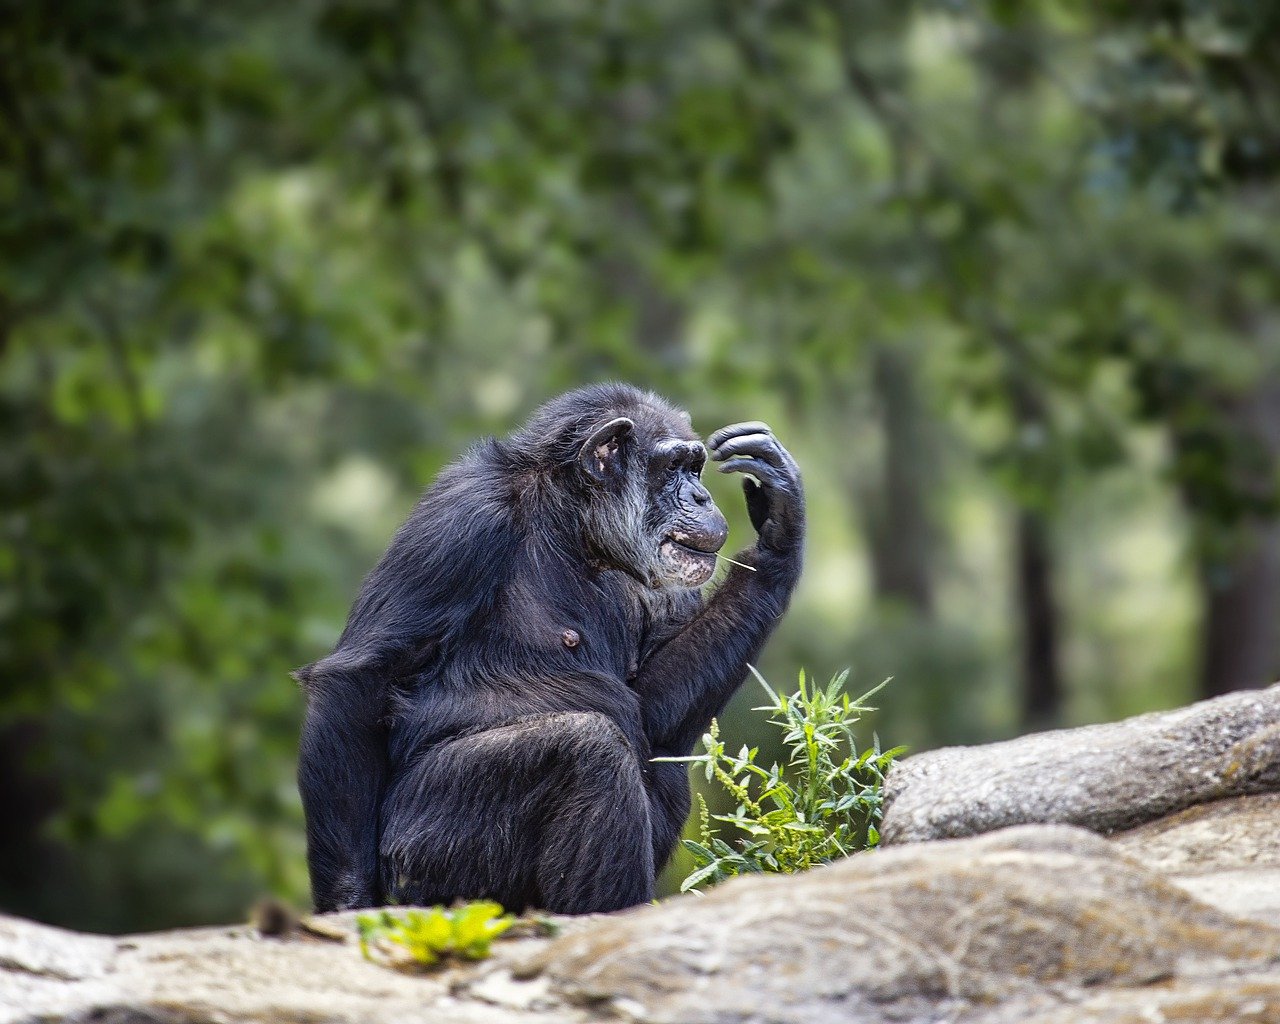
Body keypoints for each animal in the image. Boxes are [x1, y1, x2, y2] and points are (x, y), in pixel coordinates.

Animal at [294, 384, 803, 911]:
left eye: (694, 467)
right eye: (672, 468)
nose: (700, 495)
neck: (573, 525)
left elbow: (650, 706)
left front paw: (780, 521)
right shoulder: (461, 517)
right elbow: (362, 676)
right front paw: (348, 900)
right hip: (422, 856)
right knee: (587, 749)